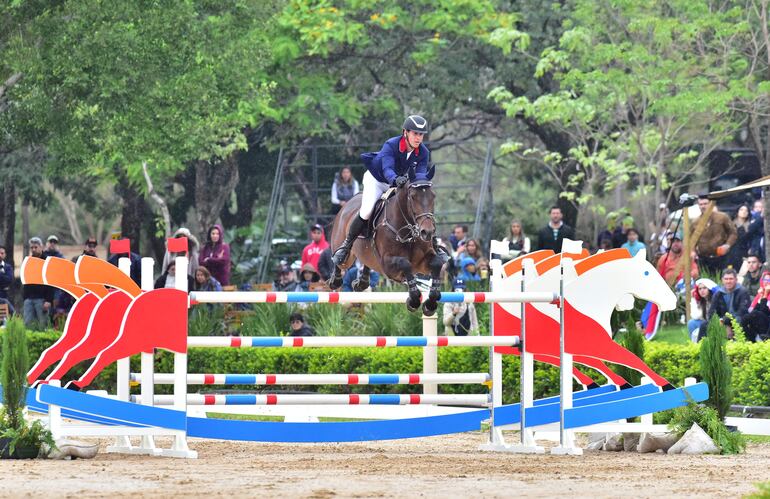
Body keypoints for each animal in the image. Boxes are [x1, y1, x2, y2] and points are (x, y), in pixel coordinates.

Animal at [326, 181, 444, 316]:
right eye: (413, 197)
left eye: (433, 196)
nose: (427, 232)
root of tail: (348, 203)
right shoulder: (387, 265)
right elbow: (405, 263)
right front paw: (413, 301)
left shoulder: (421, 264)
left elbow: (437, 262)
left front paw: (430, 305)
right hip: (346, 254)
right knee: (339, 258)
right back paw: (335, 277)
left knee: (367, 263)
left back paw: (361, 283)